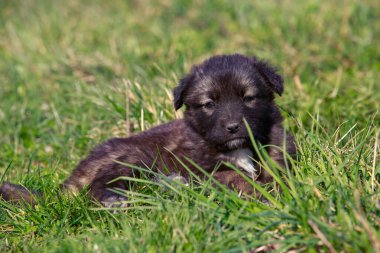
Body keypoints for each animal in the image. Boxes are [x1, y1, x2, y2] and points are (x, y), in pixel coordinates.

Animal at [0, 53, 296, 206]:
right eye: (209, 104)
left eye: (249, 98)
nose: (234, 127)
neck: (239, 148)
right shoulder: (202, 171)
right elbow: (236, 177)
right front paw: (259, 192)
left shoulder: (278, 148)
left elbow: (276, 170)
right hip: (135, 157)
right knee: (97, 187)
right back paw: (116, 200)